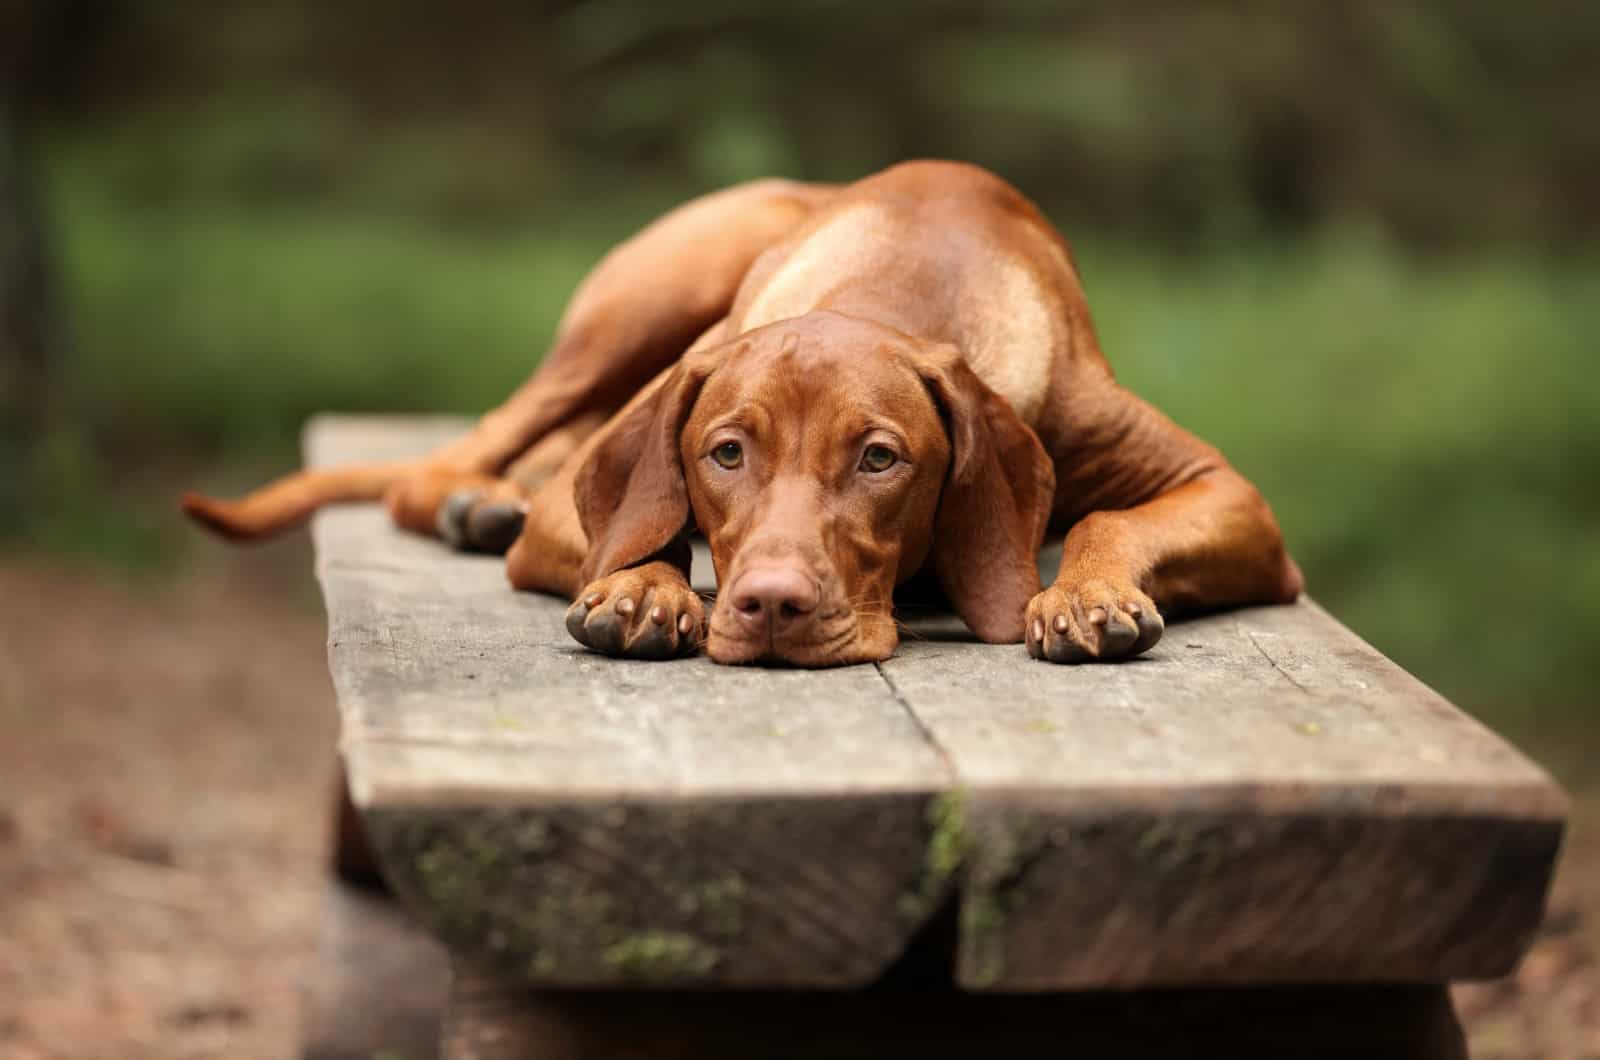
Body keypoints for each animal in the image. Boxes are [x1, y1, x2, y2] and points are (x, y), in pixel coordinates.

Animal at [184, 161, 1299, 669]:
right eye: (724, 454)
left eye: (881, 459)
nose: (767, 606)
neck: (906, 282)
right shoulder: (600, 492)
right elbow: (634, 534)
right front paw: (646, 590)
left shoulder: (1227, 491)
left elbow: (1109, 516)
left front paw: (1084, 592)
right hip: (650, 300)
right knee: (457, 459)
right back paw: (479, 503)